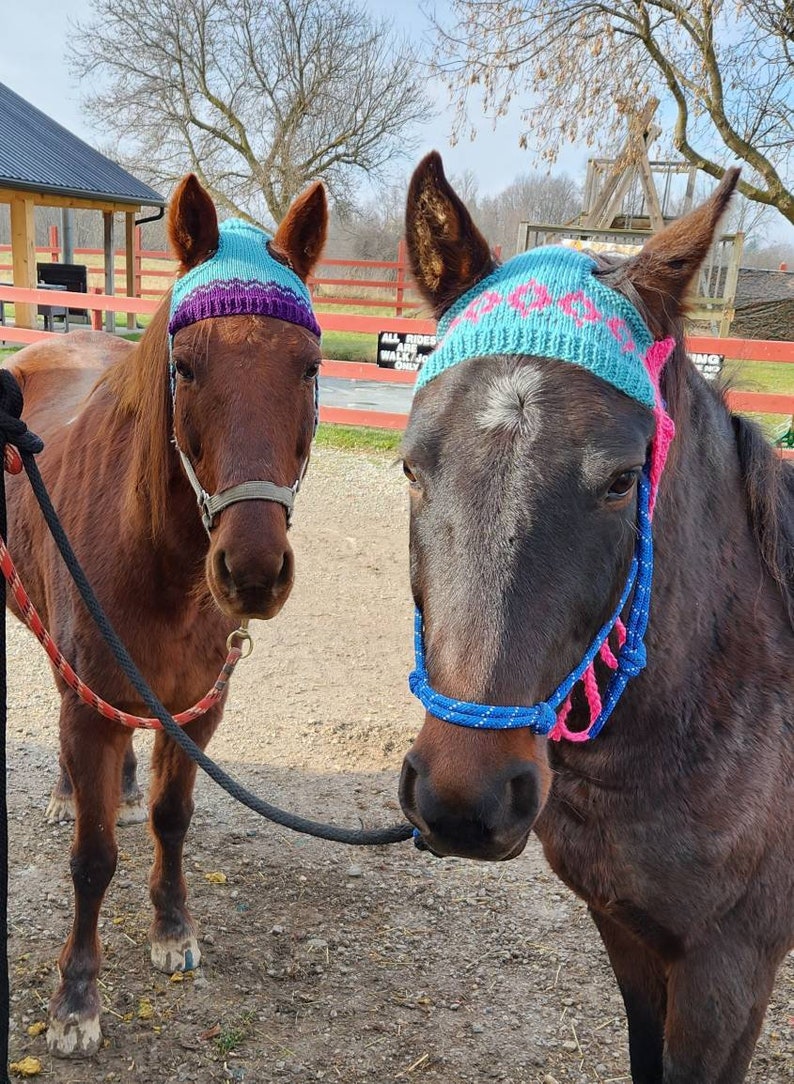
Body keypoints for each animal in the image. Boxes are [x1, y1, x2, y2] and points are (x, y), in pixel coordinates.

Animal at [6, 173, 329, 1053]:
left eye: (310, 367)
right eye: (184, 366)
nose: (252, 572)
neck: (161, 566)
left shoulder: (200, 708)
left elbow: (172, 817)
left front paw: (173, 929)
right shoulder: (92, 705)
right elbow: (91, 859)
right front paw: (76, 999)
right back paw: (68, 791)